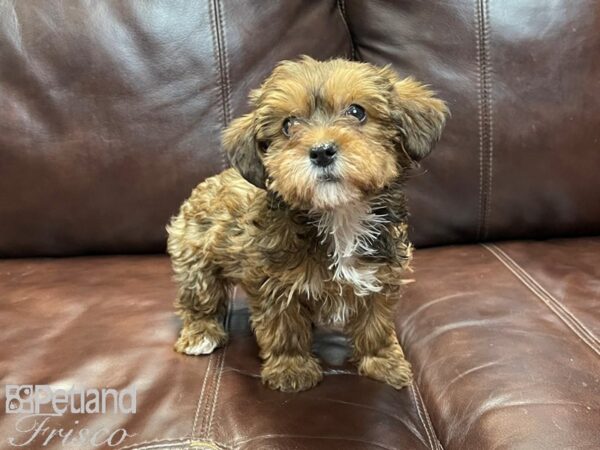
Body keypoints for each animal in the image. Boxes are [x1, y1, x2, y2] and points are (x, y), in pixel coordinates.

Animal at [166, 56, 448, 392]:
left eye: (357, 111)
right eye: (288, 125)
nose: (321, 151)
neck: (339, 214)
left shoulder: (380, 275)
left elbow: (376, 322)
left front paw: (382, 361)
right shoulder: (274, 281)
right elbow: (284, 326)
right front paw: (292, 368)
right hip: (196, 259)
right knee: (200, 297)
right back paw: (201, 333)